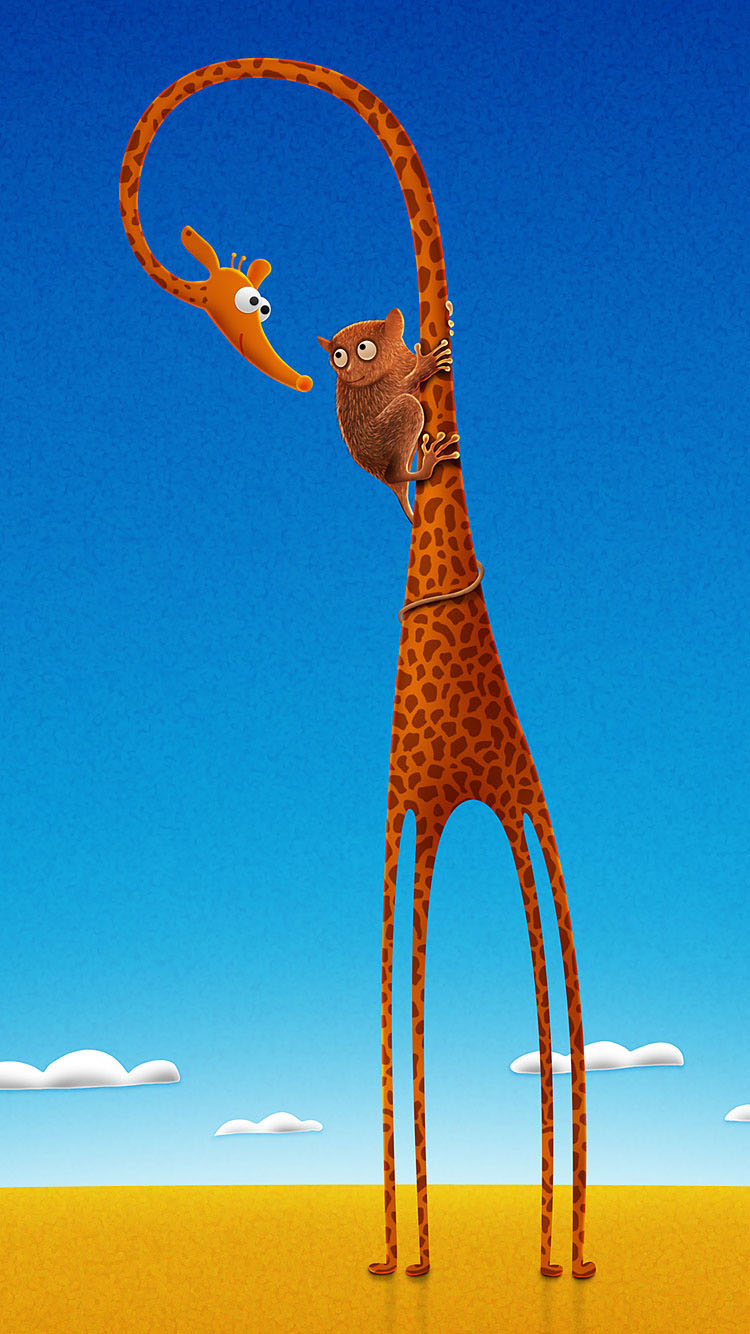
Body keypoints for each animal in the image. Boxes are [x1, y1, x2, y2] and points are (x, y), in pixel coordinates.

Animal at [119, 59, 595, 1280]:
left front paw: (546, 1260)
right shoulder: (409, 813)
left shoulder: (511, 809)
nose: (337, 360)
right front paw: (406, 1257)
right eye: (331, 345)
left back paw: (547, 1255)